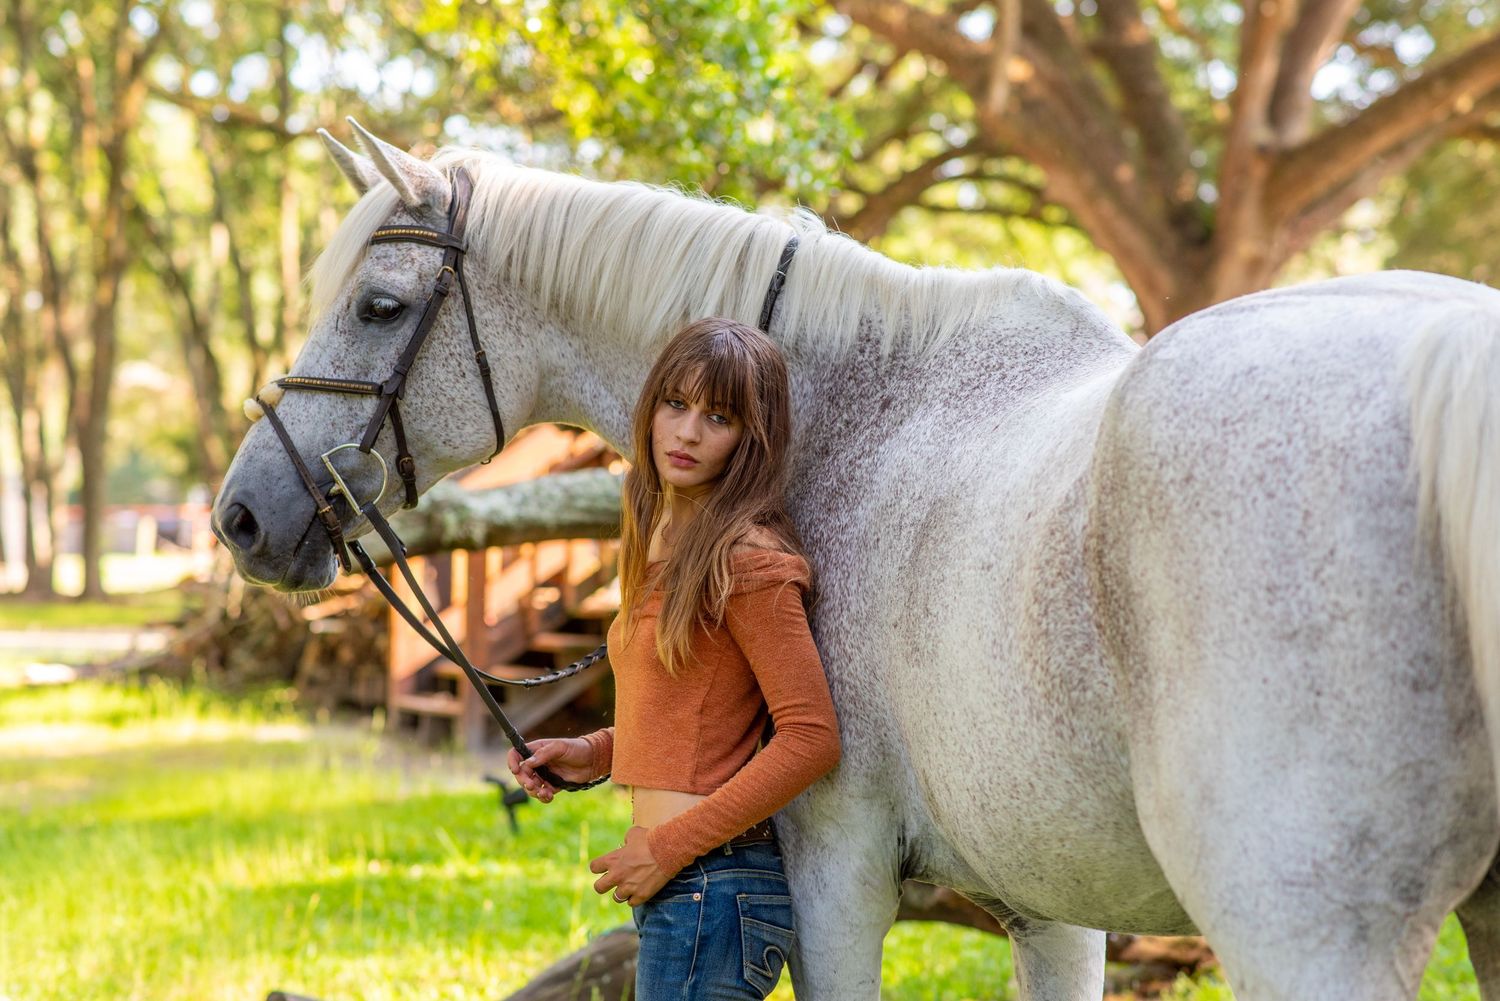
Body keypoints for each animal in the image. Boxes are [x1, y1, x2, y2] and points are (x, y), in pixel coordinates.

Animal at [212, 120, 1500, 1000]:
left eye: (380, 306)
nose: (241, 516)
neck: (839, 419)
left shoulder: (836, 873)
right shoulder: (1052, 908)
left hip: (1302, 932)